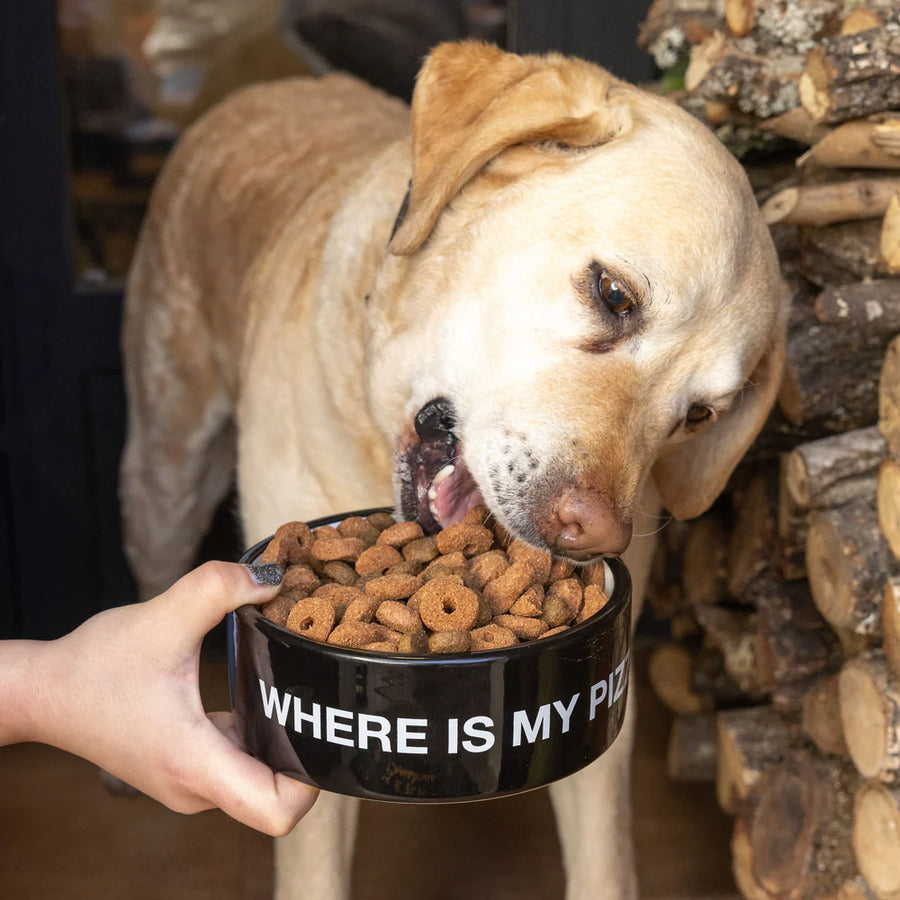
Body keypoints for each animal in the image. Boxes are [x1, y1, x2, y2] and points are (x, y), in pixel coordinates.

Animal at [121, 38, 788, 896]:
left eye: (700, 415)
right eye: (614, 295)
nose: (597, 534)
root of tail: (265, 87)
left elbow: (605, 856)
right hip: (164, 470)